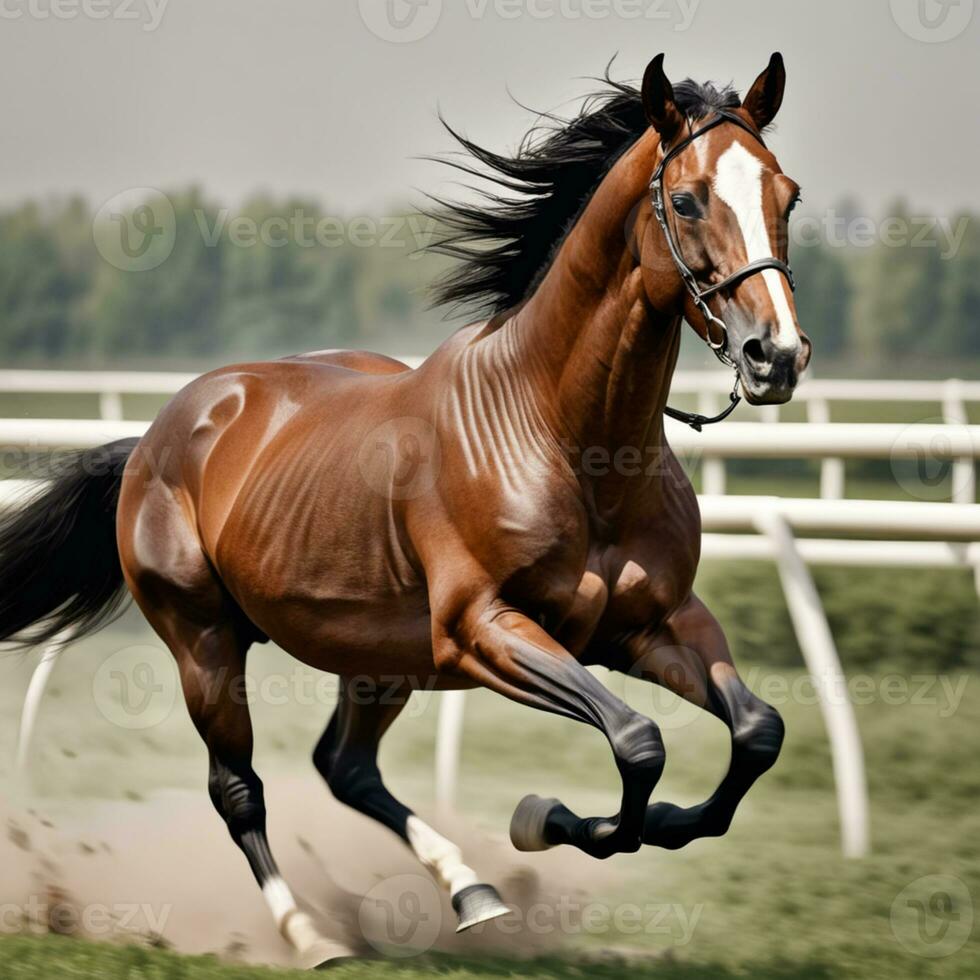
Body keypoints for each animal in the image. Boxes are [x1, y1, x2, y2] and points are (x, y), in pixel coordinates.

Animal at [0, 53, 808, 964]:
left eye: (786, 195)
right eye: (689, 199)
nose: (776, 356)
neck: (569, 438)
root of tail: (157, 434)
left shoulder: (653, 625)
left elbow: (754, 733)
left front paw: (621, 824)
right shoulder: (481, 632)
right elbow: (639, 742)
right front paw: (548, 819)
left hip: (377, 660)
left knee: (346, 768)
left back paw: (473, 893)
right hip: (203, 643)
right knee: (239, 789)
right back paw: (310, 934)